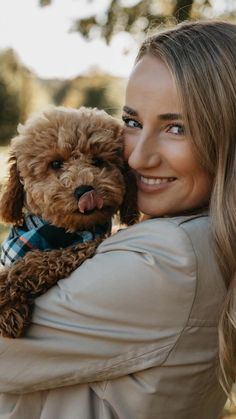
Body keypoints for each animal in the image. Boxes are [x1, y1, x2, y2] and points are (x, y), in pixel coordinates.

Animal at [0, 105, 139, 338]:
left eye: (97, 161)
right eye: (56, 163)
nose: (85, 191)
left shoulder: (89, 242)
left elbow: (49, 258)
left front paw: (13, 282)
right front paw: (9, 310)